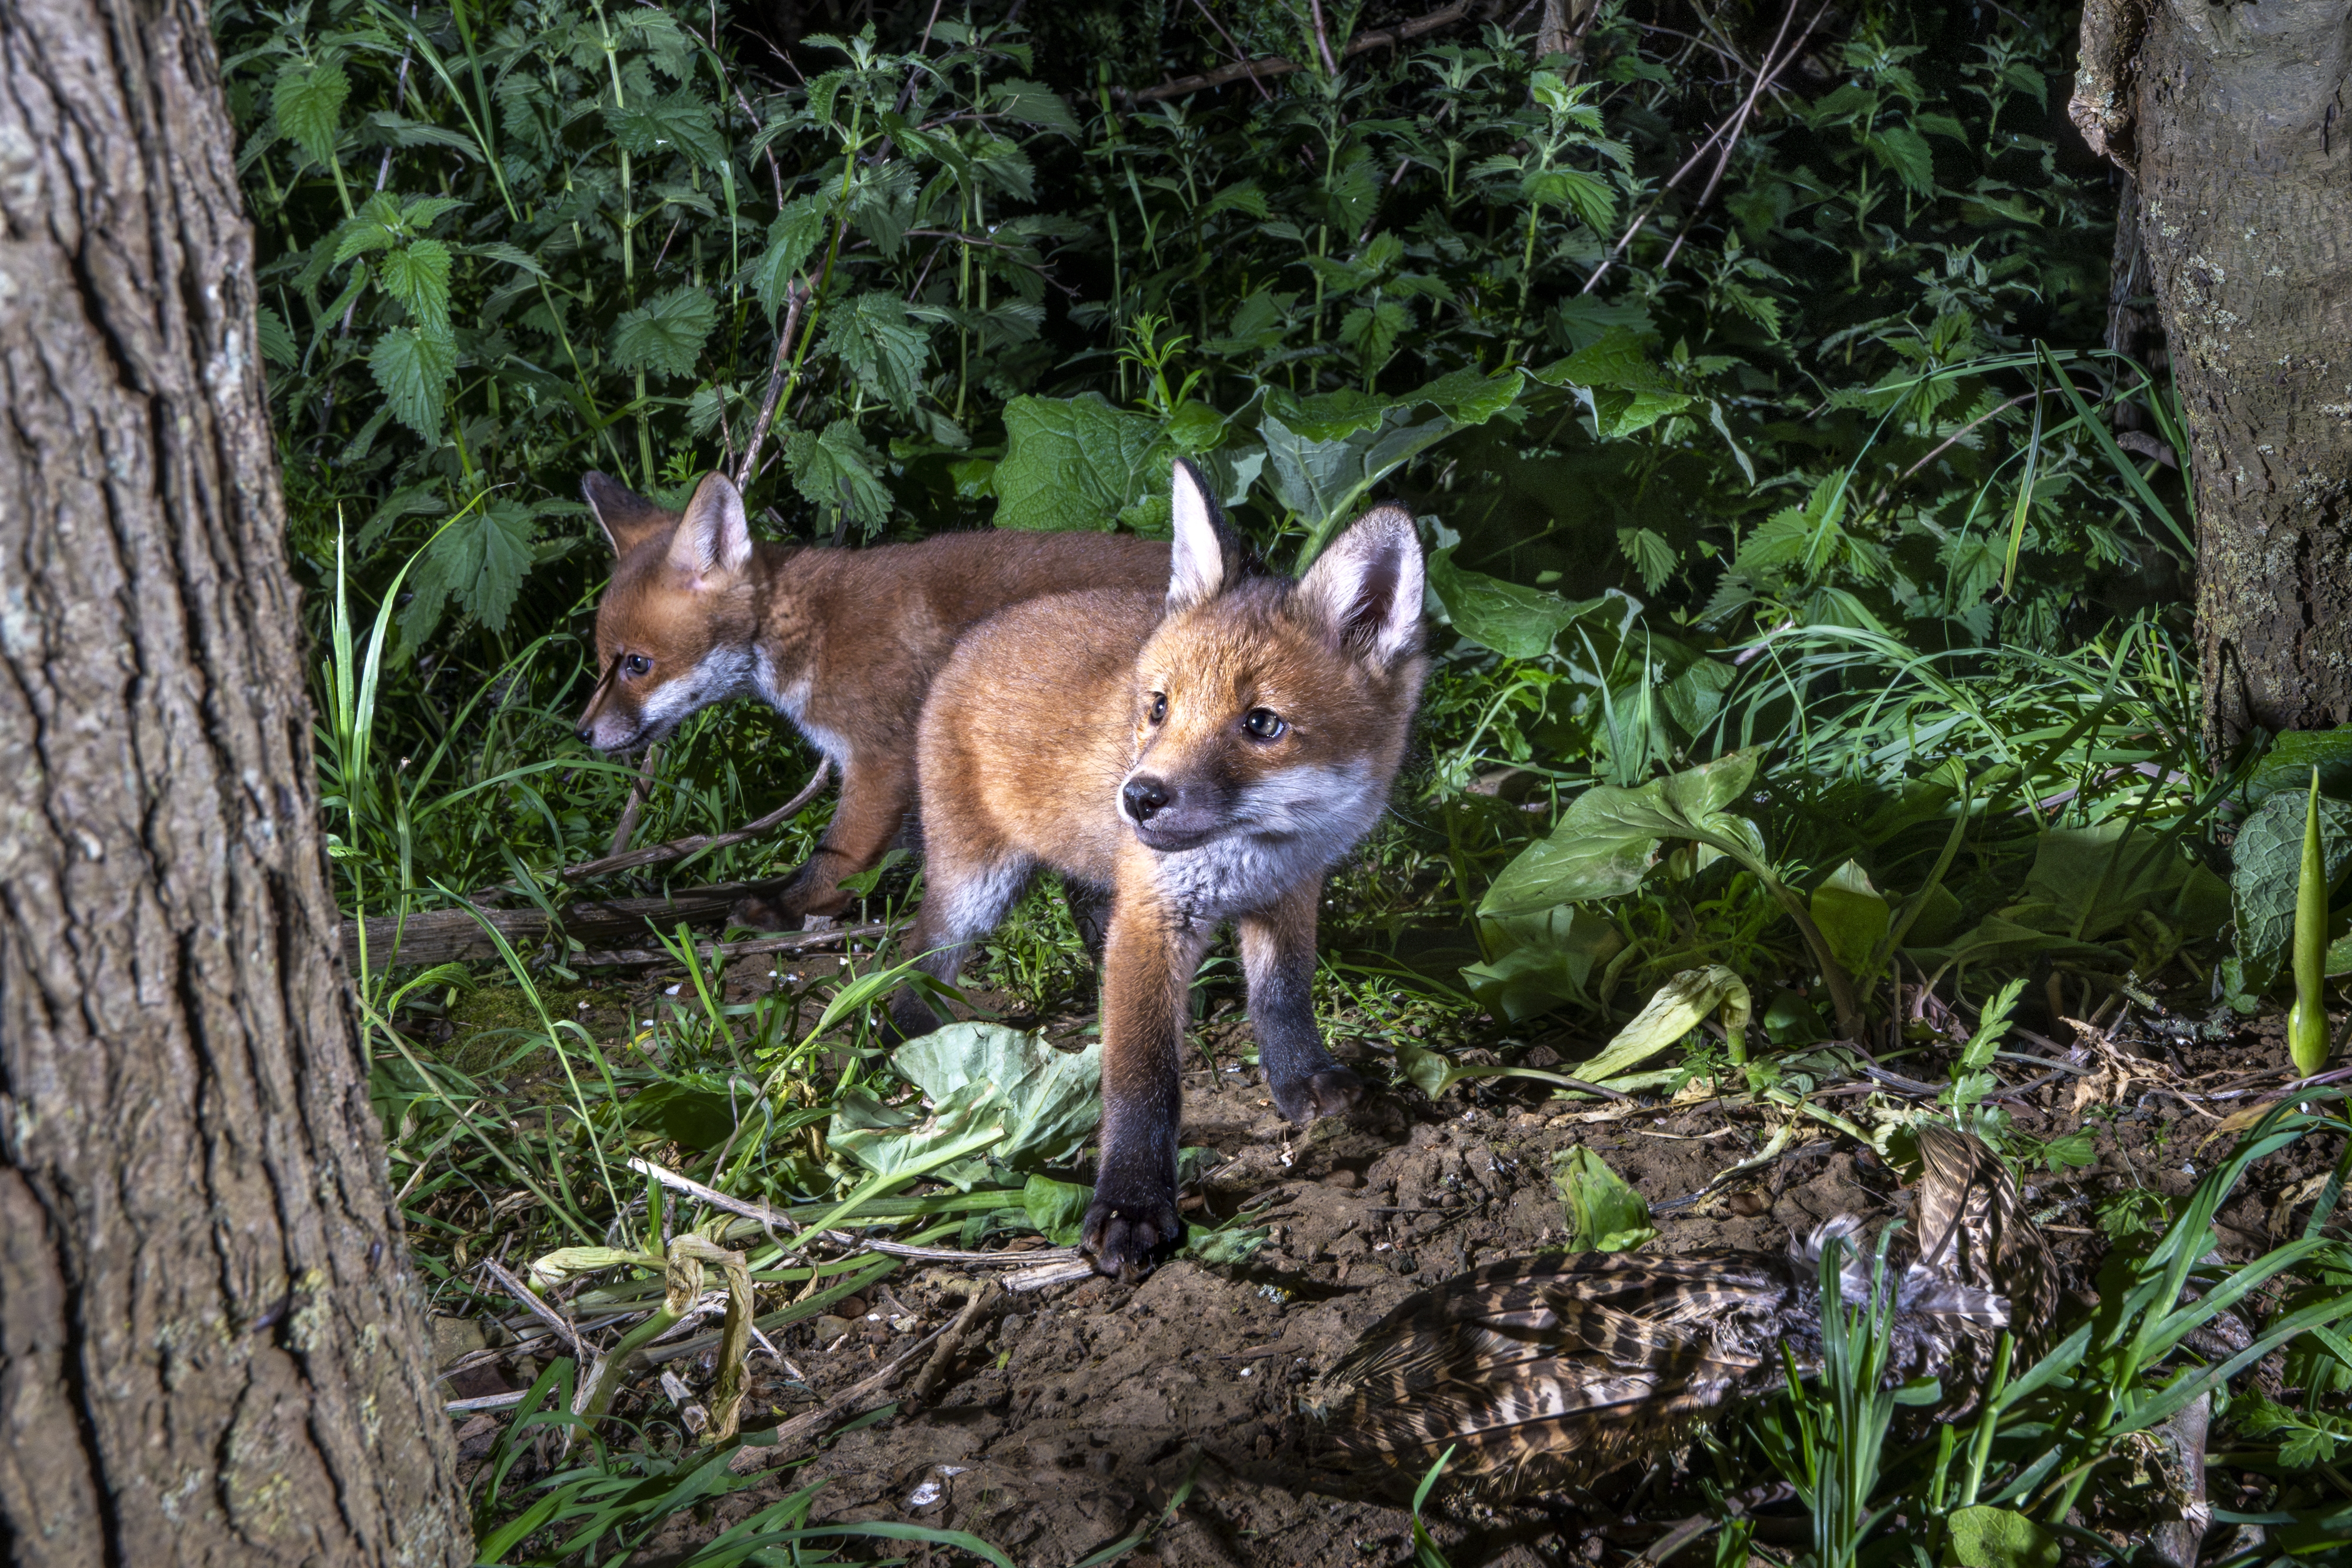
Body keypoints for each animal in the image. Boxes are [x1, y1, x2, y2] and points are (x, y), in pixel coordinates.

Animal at [573, 470, 1170, 927]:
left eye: (638, 664)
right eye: (603, 660)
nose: (582, 734)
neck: (812, 630)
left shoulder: (881, 759)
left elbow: (835, 856)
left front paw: (787, 909)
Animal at [891, 460, 1428, 1279]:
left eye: (1262, 724)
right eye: (1159, 707)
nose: (1138, 798)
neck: (1254, 851)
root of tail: (989, 626)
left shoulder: (1290, 893)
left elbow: (1282, 998)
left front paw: (1302, 1081)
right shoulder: (1152, 915)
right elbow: (1142, 1075)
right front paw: (1133, 1207)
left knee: (1082, 908)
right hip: (976, 886)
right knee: (913, 965)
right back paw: (919, 1039)